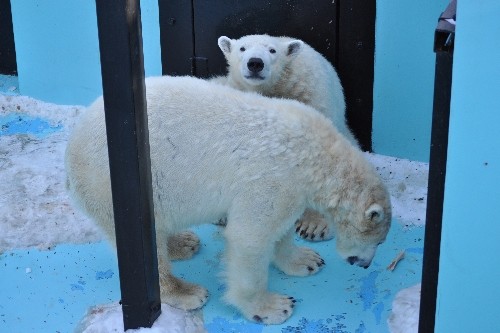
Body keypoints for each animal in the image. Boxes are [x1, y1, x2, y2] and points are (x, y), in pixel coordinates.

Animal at [64, 76, 390, 324]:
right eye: (379, 241)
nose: (363, 265)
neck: (317, 155)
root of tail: (71, 149)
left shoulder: (290, 188)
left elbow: (281, 228)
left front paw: (307, 261)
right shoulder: (273, 177)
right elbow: (250, 237)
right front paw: (272, 307)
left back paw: (183, 243)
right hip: (112, 183)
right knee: (146, 242)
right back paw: (186, 291)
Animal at [215, 34, 356, 241]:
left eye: (272, 50)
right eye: (242, 48)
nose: (255, 63)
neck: (275, 88)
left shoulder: (312, 101)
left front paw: (314, 225)